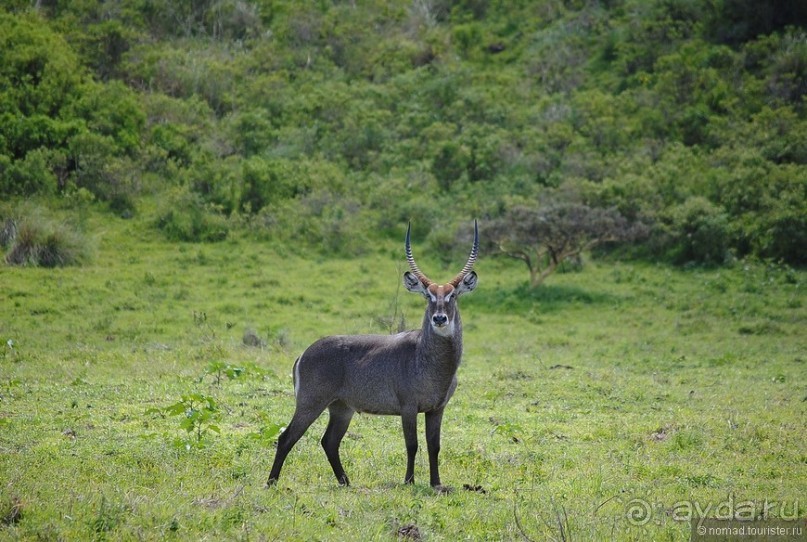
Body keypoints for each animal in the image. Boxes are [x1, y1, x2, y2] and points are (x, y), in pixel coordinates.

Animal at [266, 221, 480, 492]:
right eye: (428, 296)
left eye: (453, 295)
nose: (439, 318)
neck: (431, 363)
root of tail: (304, 353)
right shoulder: (408, 407)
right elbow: (412, 445)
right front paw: (409, 481)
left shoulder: (437, 409)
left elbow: (435, 446)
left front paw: (436, 484)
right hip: (310, 402)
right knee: (287, 437)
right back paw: (271, 482)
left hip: (341, 408)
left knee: (329, 441)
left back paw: (346, 482)